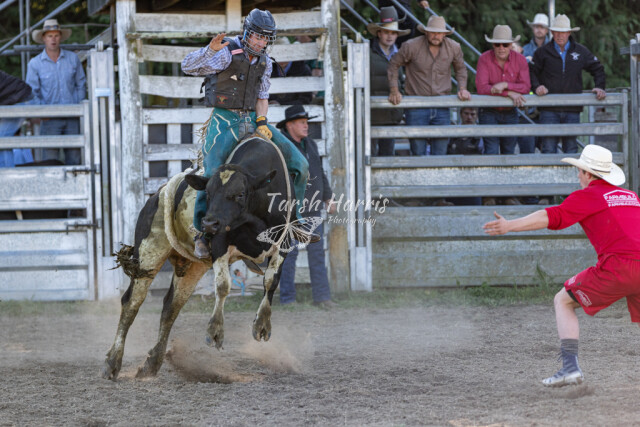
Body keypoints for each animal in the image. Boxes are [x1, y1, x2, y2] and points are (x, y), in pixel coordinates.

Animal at [101, 136, 297, 380]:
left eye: (240, 194)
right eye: (209, 193)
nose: (209, 224)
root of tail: (156, 195)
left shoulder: (284, 245)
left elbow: (271, 281)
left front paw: (262, 325)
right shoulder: (221, 243)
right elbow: (223, 285)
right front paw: (215, 332)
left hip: (191, 267)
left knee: (171, 306)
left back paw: (152, 363)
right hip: (148, 253)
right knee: (132, 302)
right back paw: (112, 363)